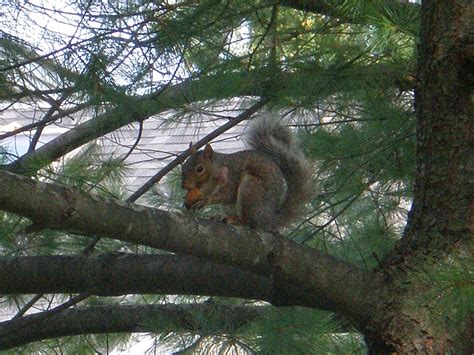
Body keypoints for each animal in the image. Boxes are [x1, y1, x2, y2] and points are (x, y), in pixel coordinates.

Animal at [181, 115, 314, 232]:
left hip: (251, 190)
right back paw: (222, 217)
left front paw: (205, 200)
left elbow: (228, 195)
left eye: (200, 169)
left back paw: (238, 221)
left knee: (249, 222)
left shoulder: (232, 177)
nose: (184, 186)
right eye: (184, 165)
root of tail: (270, 221)